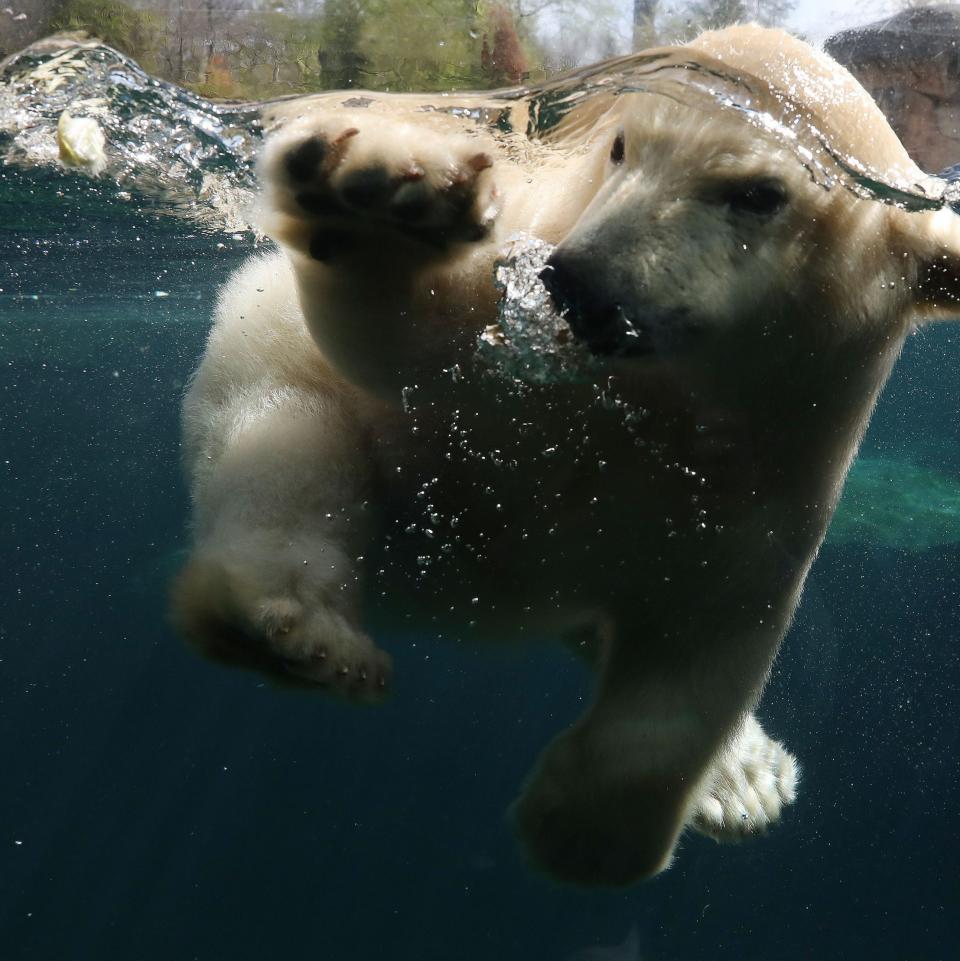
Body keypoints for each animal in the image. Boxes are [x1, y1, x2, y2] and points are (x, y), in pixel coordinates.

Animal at [171, 24, 960, 884]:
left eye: (758, 193)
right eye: (621, 147)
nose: (580, 282)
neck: (660, 403)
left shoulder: (763, 485)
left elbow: (702, 655)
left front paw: (580, 829)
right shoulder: (523, 322)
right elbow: (411, 350)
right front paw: (382, 200)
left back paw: (747, 779)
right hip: (267, 366)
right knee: (286, 454)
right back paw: (302, 629)